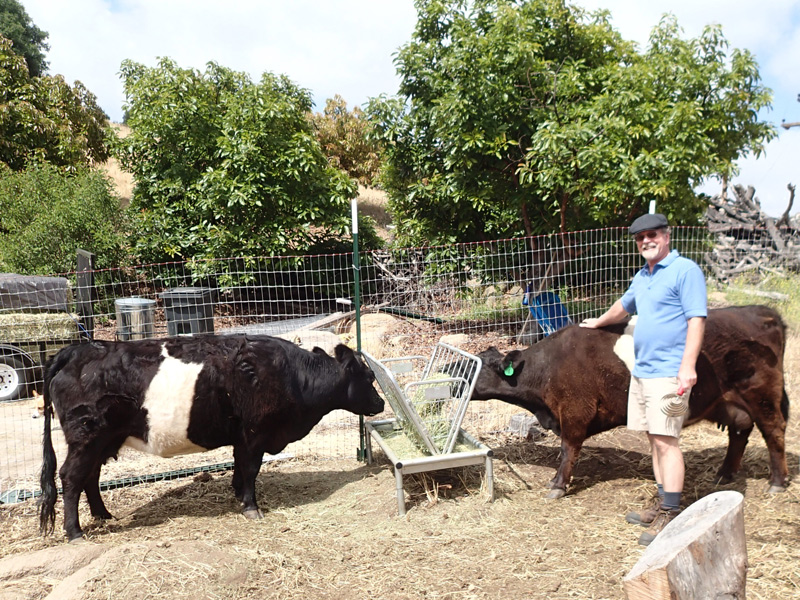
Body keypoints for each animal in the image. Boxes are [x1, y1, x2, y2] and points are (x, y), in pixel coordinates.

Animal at [38, 335, 385, 541]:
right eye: (368, 377)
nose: (380, 404)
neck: (293, 377)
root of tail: (80, 349)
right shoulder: (254, 434)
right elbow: (250, 470)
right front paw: (251, 507)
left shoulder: (242, 438)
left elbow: (239, 468)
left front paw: (238, 494)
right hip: (87, 435)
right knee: (71, 477)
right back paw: (75, 531)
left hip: (101, 439)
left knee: (90, 476)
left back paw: (103, 515)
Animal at [471, 305, 790, 498]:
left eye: (476, 366)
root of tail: (760, 312)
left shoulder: (575, 411)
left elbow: (567, 450)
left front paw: (558, 485)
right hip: (728, 400)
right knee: (740, 431)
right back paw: (725, 474)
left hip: (763, 394)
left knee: (773, 431)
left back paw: (777, 481)